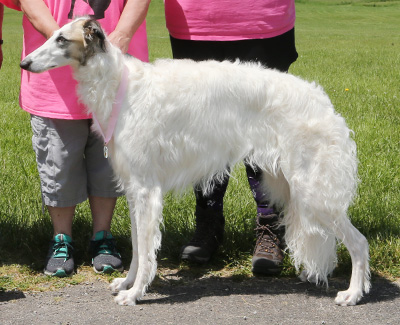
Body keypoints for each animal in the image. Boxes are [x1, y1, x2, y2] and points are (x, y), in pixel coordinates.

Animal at [21, 18, 372, 306]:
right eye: (51, 35)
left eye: (62, 40)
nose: (24, 63)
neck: (119, 84)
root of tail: (323, 102)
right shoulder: (135, 190)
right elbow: (137, 247)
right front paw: (127, 283)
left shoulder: (147, 191)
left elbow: (146, 251)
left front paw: (135, 294)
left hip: (313, 191)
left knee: (359, 242)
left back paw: (353, 293)